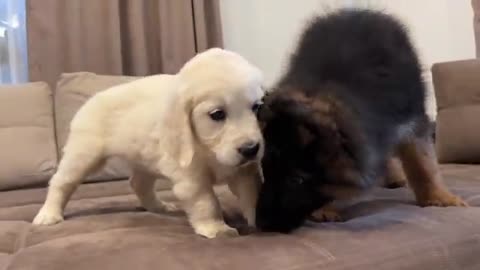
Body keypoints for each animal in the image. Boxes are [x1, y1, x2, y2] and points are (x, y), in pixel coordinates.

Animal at [32, 48, 266, 238]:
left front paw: (258, 220)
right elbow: (205, 201)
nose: (250, 149)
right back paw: (48, 214)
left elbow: (251, 195)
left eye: (256, 107)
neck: (209, 151)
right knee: (61, 182)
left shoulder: (245, 171)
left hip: (145, 159)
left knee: (138, 183)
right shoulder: (190, 176)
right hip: (84, 154)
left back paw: (158, 207)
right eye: (217, 114)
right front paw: (216, 228)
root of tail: (92, 98)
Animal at [256, 8, 466, 232]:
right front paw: (325, 209)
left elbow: (423, 163)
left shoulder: (412, 120)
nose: (262, 225)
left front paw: (438, 197)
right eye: (264, 170)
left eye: (296, 179)